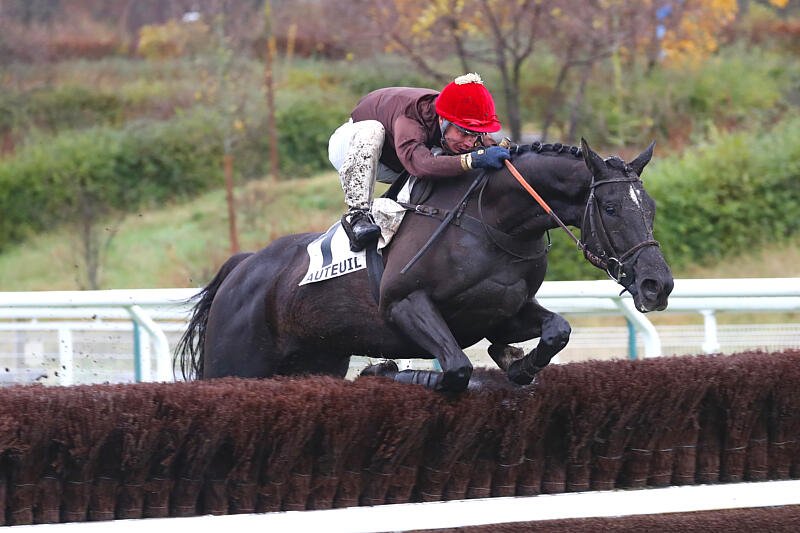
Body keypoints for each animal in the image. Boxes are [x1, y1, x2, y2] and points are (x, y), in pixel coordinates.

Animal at [176, 139, 673, 392]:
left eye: (649, 207)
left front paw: (517, 364)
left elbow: (558, 330)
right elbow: (456, 369)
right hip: (235, 363)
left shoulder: (501, 312)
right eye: (610, 208)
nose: (658, 284)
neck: (491, 222)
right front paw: (385, 371)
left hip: (317, 359)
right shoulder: (404, 305)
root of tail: (243, 267)